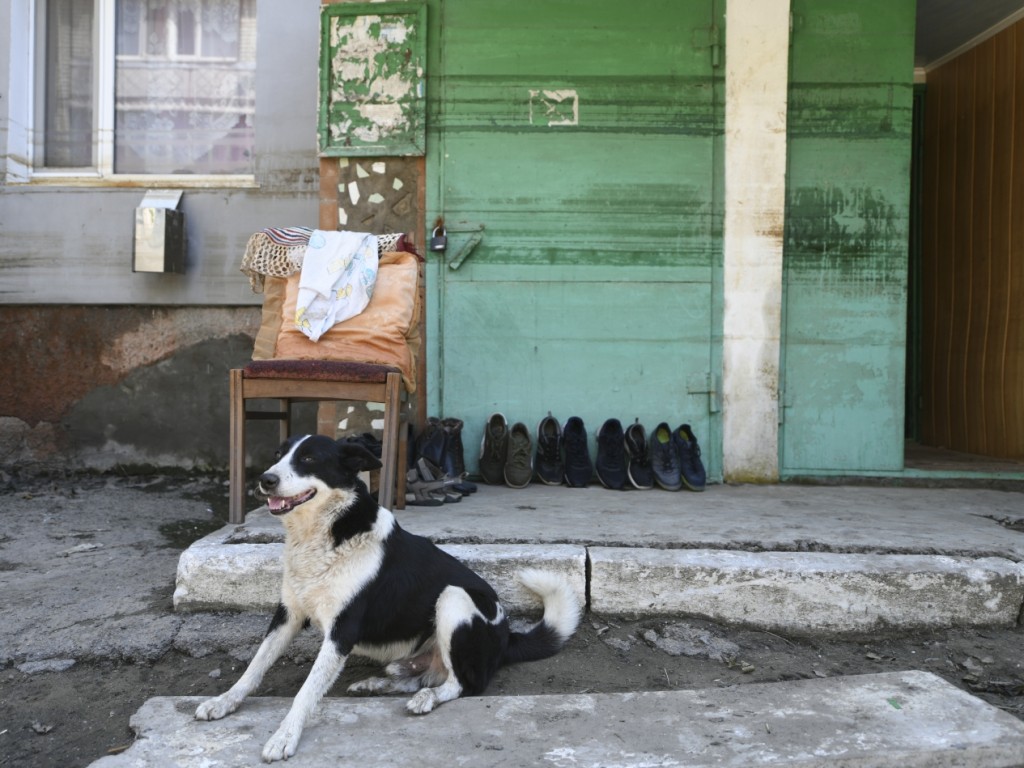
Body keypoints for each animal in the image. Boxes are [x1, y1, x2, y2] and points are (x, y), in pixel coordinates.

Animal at [195, 434, 581, 765]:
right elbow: (254, 667)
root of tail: (507, 636)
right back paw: (377, 684)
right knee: (420, 675)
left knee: (462, 684)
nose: (266, 480)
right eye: (278, 455)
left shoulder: (342, 630)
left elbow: (307, 690)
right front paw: (224, 702)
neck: (327, 533)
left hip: (454, 598)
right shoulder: (287, 615)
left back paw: (426, 699)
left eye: (308, 459)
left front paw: (284, 736)